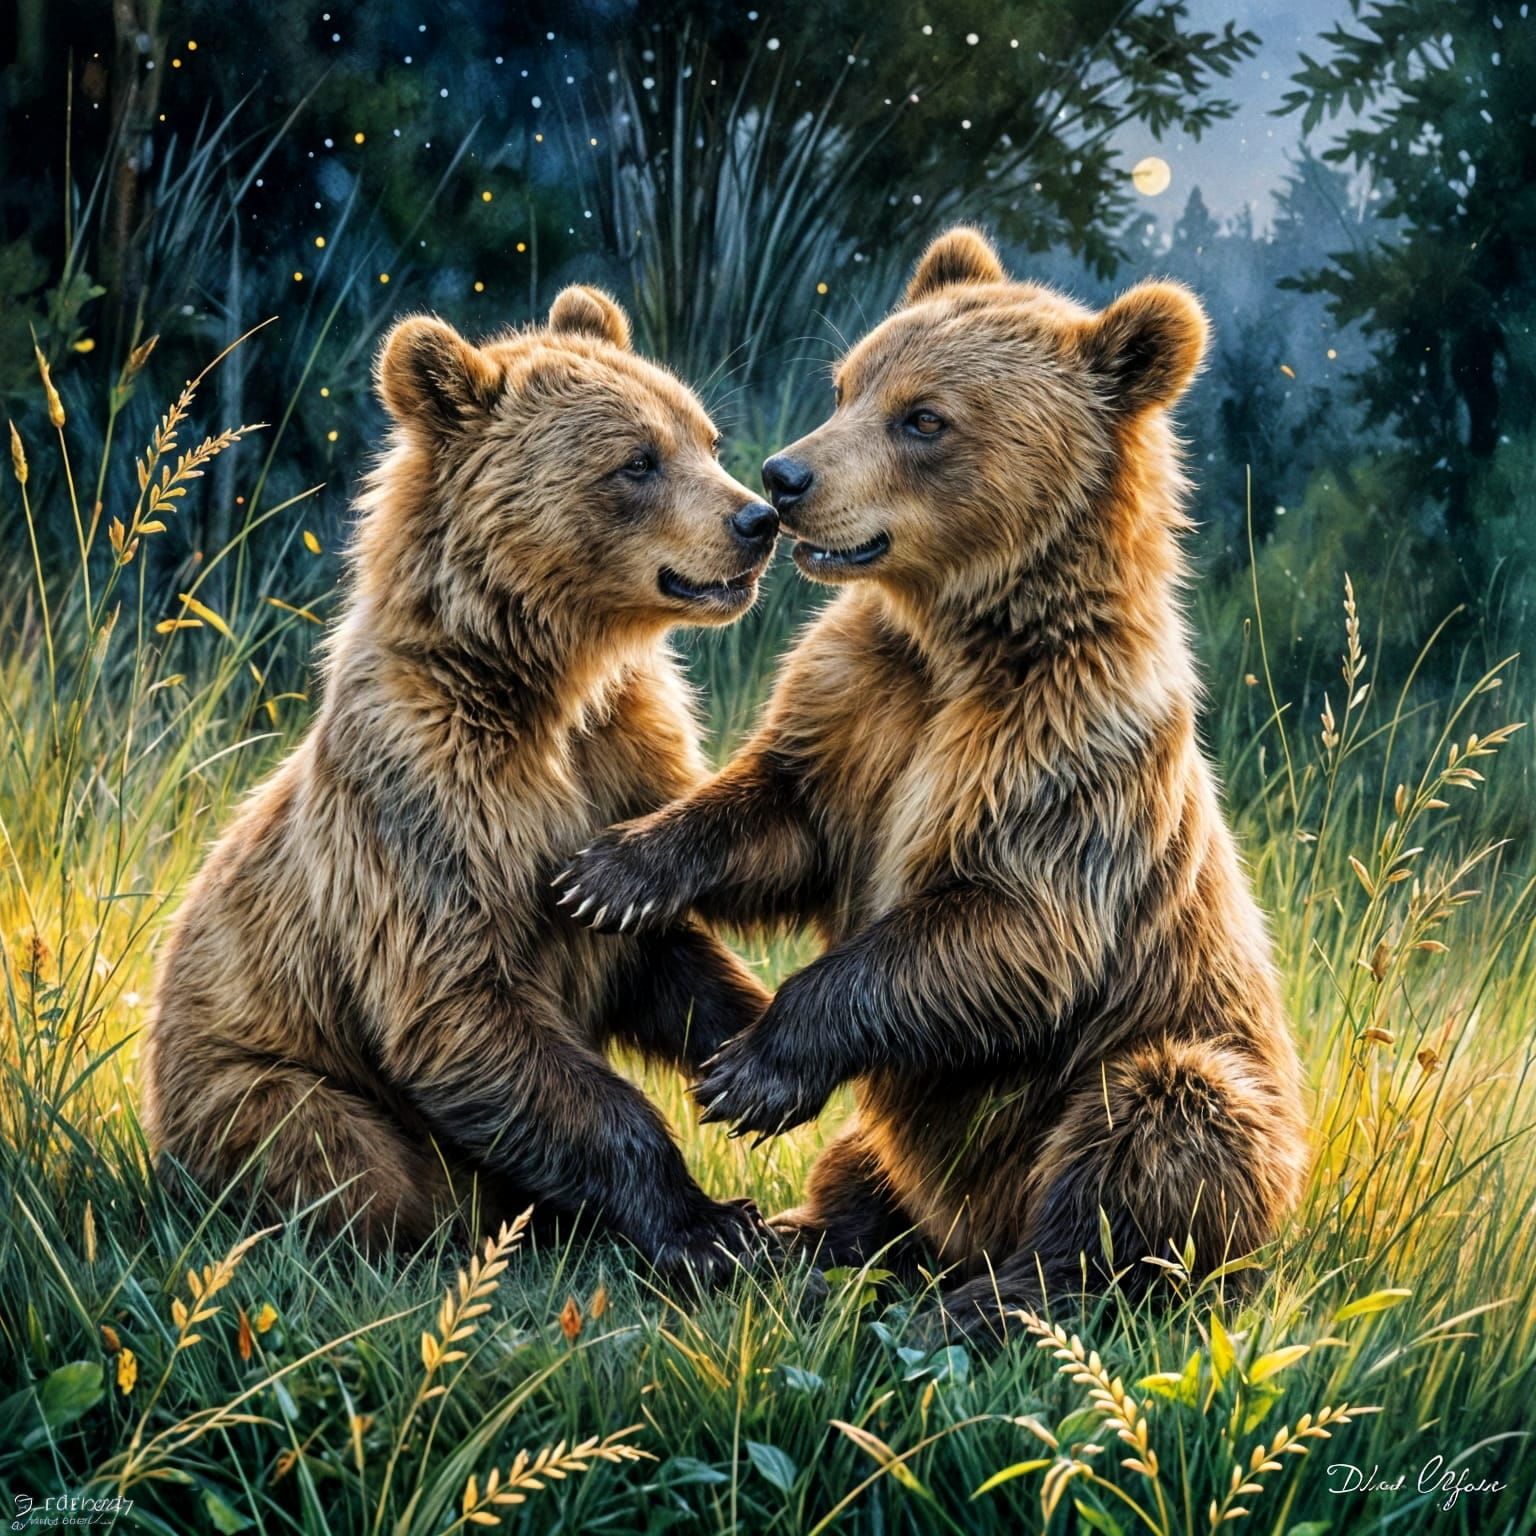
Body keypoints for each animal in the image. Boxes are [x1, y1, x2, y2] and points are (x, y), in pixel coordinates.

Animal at [141, 287, 783, 1283]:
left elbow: (662, 950)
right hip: (252, 1080)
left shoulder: (624, 769)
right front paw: (711, 1227)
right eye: (637, 460)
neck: (550, 682)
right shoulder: (430, 801)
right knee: (340, 1159)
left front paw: (757, 1064)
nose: (757, 520)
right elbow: (462, 1006)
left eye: (705, 438)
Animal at [554, 228, 1310, 1334]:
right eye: (847, 384)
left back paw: (986, 1301)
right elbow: (784, 814)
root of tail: (967, 1233)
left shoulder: (1067, 757)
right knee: (863, 1175)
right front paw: (612, 873)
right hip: (901, 1162)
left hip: (1179, 1096)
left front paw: (754, 1072)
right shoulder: (867, 701)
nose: (784, 477)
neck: (961, 641)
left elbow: (1005, 929)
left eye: (924, 417)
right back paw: (801, 1241)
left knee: (1158, 1134)